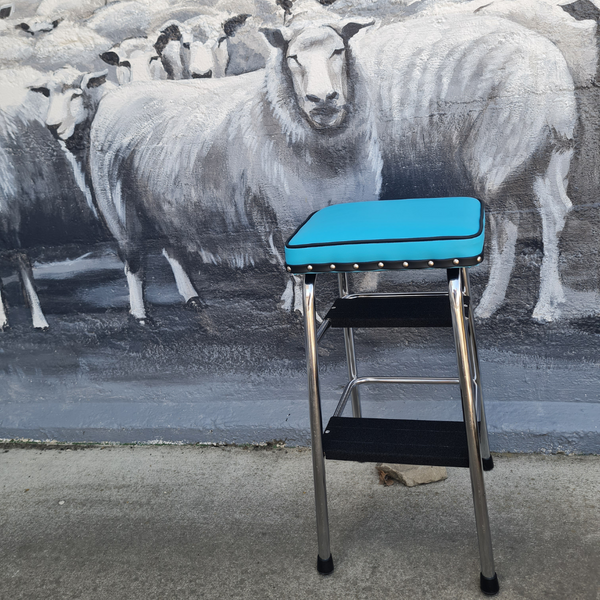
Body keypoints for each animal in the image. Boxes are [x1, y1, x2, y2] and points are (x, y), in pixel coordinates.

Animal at [89, 17, 380, 324]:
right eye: (293, 58)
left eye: (338, 50)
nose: (322, 98)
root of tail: (115, 96)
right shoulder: (287, 212)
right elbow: (297, 275)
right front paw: (301, 311)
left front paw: (289, 303)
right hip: (117, 208)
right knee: (133, 261)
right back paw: (140, 314)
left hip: (161, 206)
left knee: (172, 250)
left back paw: (192, 297)